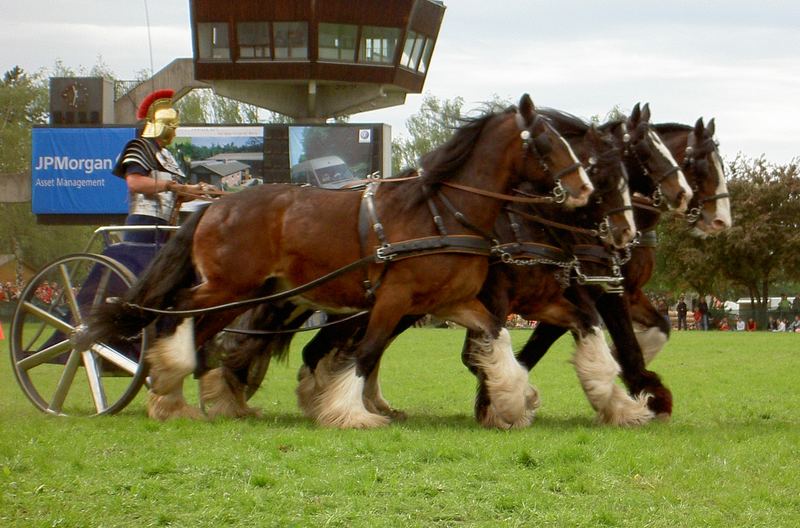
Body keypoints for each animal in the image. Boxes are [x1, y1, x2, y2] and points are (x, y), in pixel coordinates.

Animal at [87, 94, 592, 424]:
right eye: (546, 144)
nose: (584, 188)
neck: (440, 211)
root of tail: (214, 205)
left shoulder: (451, 303)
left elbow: (496, 336)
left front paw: (514, 400)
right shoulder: (393, 299)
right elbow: (365, 353)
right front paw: (350, 412)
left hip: (245, 294)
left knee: (199, 329)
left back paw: (183, 397)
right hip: (226, 287)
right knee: (176, 313)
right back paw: (169, 387)